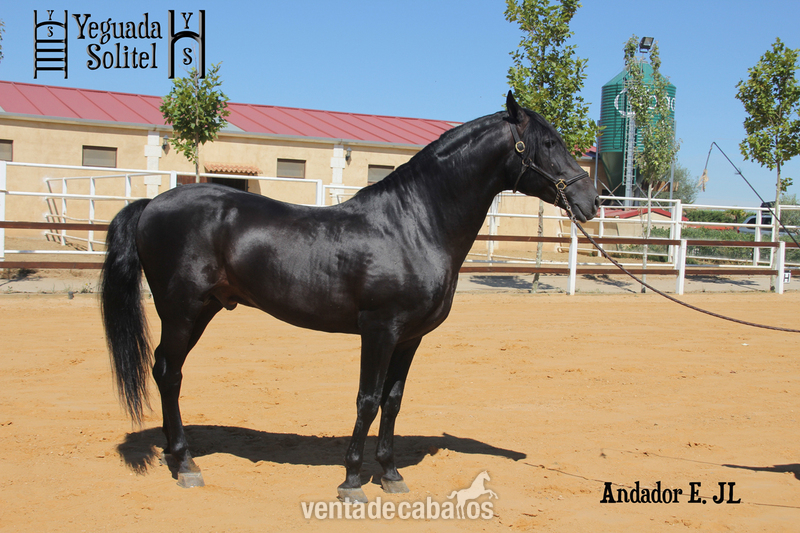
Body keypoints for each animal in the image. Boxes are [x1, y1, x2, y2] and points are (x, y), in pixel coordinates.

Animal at [100, 91, 598, 502]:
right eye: (548, 143)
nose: (591, 202)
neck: (414, 225)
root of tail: (151, 203)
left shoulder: (410, 337)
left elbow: (393, 400)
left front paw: (391, 475)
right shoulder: (379, 329)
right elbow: (368, 399)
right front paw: (352, 481)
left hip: (201, 311)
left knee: (166, 371)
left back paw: (175, 456)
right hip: (182, 312)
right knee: (169, 374)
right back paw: (185, 464)